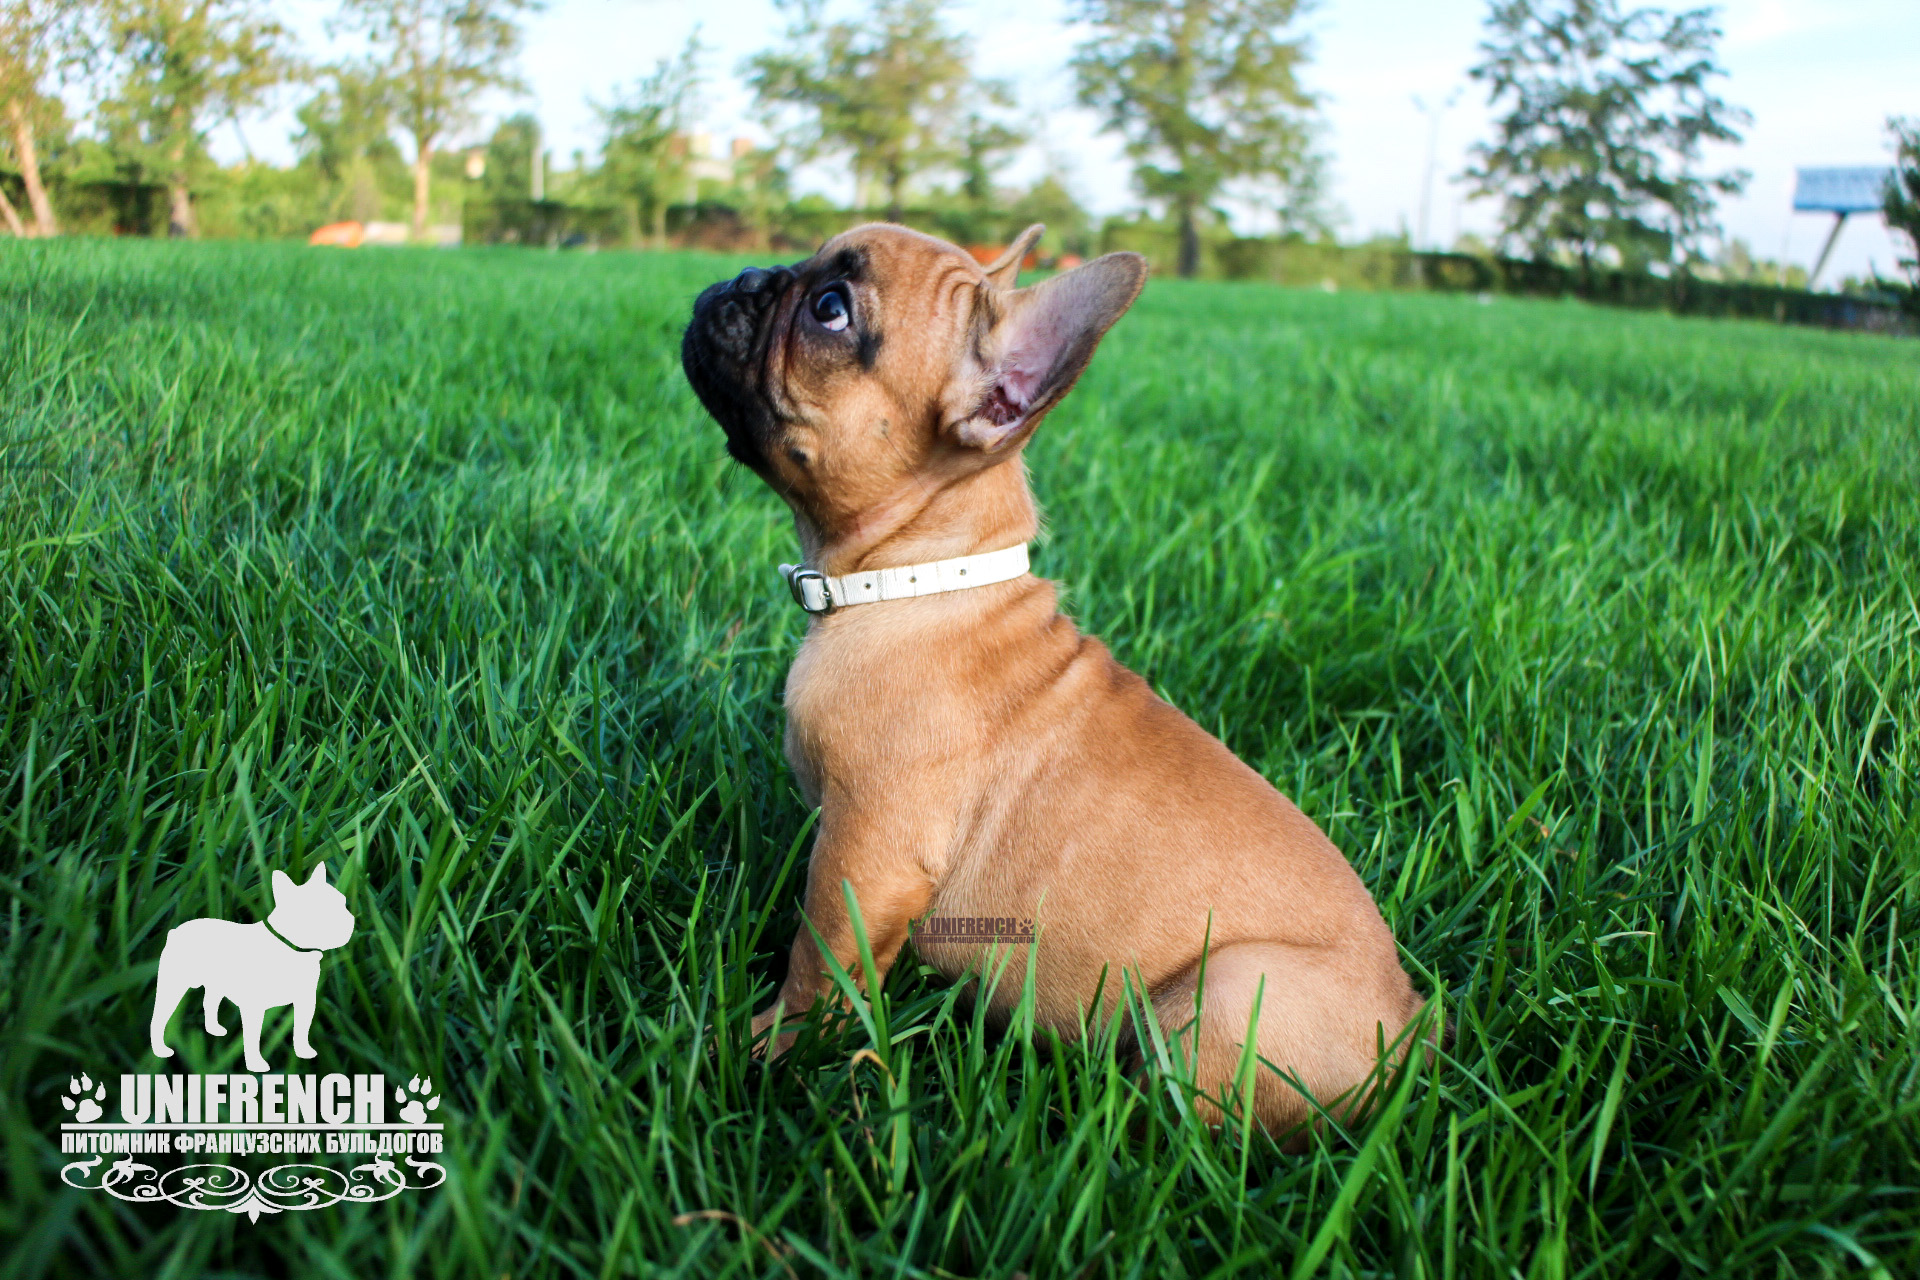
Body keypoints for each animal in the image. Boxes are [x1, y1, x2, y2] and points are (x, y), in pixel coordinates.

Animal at [679, 225, 1428, 1136]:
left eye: (830, 309)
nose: (745, 277)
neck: (916, 579)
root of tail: (1413, 1026)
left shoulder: (867, 852)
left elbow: (818, 964)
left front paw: (767, 1048)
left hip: (1228, 996)